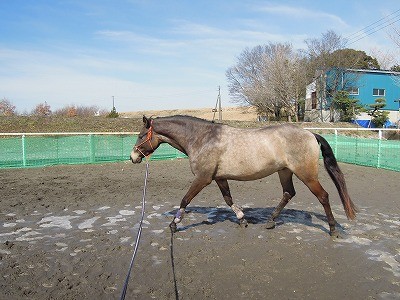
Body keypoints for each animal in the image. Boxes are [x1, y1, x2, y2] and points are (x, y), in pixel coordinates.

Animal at [130, 115, 356, 237]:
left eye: (140, 136)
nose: (133, 157)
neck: (202, 138)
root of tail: (310, 133)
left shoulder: (203, 178)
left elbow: (185, 199)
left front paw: (174, 224)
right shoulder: (219, 178)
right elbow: (228, 199)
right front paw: (242, 219)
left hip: (307, 175)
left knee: (323, 196)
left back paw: (333, 229)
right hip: (284, 172)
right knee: (288, 193)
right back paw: (271, 221)